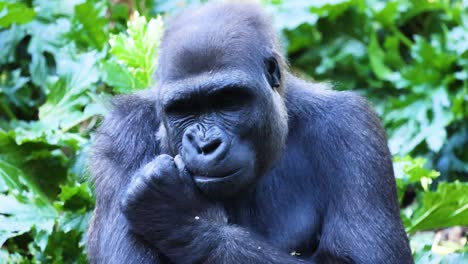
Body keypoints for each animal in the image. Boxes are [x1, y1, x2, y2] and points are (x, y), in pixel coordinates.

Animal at [86, 1, 412, 262]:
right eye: (184, 108)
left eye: (229, 101)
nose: (205, 144)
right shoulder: (122, 133)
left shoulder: (352, 127)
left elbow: (364, 258)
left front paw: (184, 217)